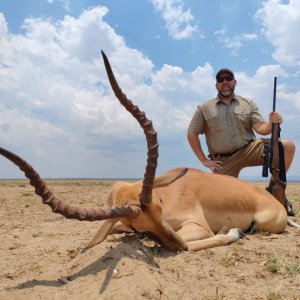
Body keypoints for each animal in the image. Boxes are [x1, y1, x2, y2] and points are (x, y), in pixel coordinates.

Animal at [0, 52, 298, 253]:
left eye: (159, 206)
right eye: (142, 224)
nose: (174, 244)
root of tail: (271, 201)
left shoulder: (196, 227)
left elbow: (192, 241)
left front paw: (232, 231)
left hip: (264, 223)